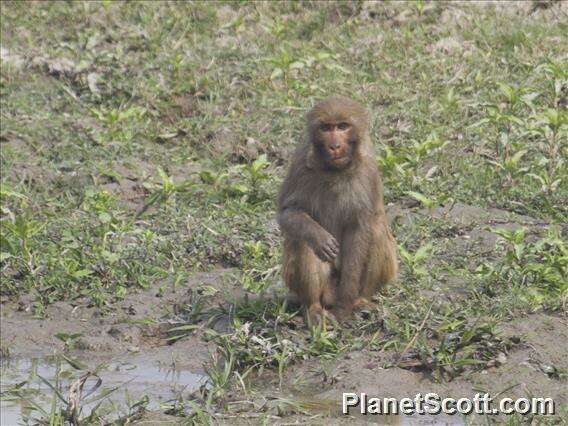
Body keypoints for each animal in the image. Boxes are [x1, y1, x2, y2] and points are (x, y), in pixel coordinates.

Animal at [278, 95, 398, 324]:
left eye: (343, 126)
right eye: (326, 128)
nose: (334, 146)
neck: (336, 171)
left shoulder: (368, 171)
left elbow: (361, 228)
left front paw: (344, 308)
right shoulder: (300, 163)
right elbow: (287, 213)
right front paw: (318, 236)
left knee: (376, 230)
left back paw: (360, 302)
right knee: (301, 241)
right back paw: (314, 307)